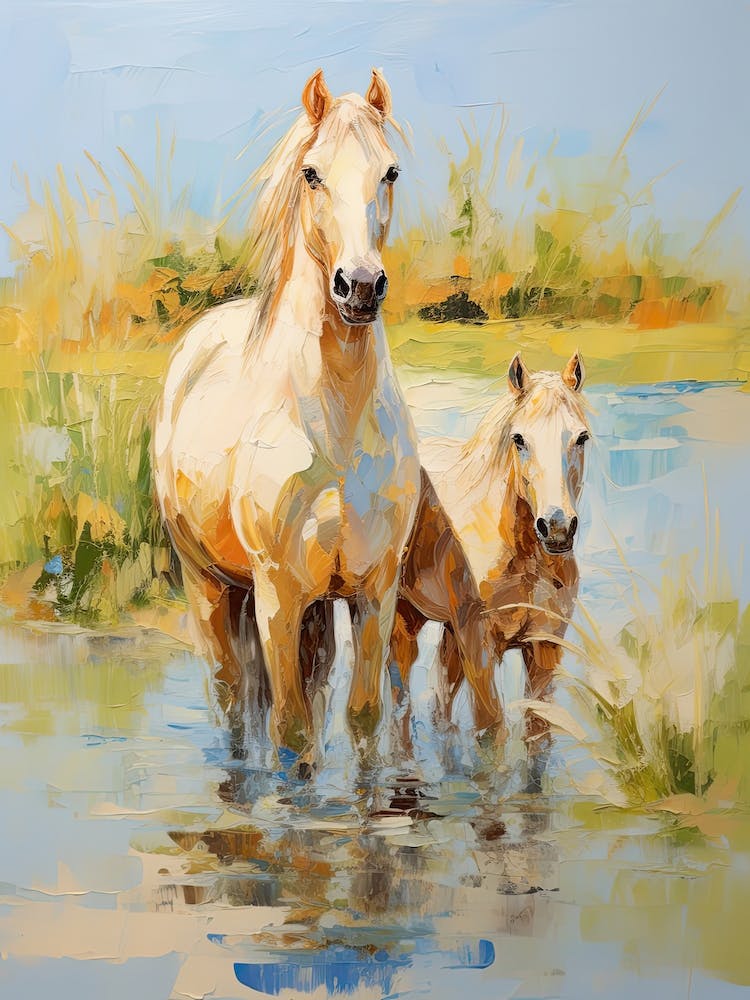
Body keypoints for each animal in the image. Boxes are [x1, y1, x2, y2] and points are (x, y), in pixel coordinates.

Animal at [153, 69, 420, 771]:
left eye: (390, 171)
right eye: (311, 173)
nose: (360, 286)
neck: (337, 427)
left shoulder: (373, 593)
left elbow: (362, 721)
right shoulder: (278, 595)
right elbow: (290, 731)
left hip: (315, 612)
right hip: (211, 586)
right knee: (232, 699)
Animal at [390, 351, 590, 759]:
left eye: (581, 437)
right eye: (519, 439)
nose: (557, 527)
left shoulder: (544, 646)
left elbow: (537, 735)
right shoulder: (480, 647)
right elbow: (490, 731)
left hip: (450, 634)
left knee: (442, 701)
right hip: (407, 619)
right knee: (400, 697)